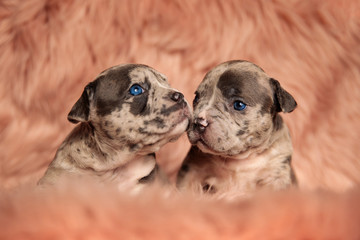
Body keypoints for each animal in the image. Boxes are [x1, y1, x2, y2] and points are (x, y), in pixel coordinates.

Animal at [176, 60, 296, 199]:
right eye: (196, 98)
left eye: (239, 105)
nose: (199, 122)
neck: (240, 158)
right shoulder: (192, 169)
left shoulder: (277, 175)